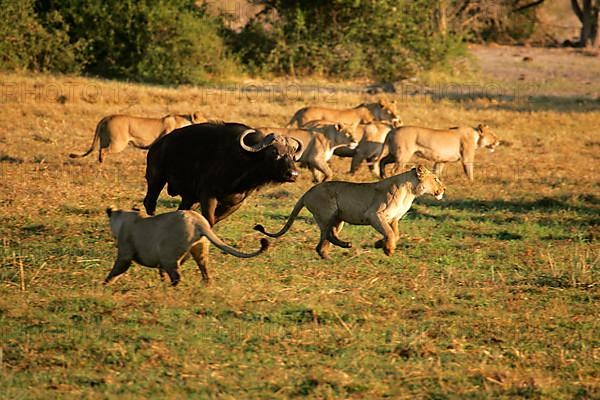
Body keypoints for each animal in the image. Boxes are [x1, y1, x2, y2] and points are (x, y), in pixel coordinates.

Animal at [105, 208, 270, 286]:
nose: (109, 210)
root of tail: (200, 224)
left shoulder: (125, 254)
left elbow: (115, 272)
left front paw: (104, 285)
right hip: (199, 252)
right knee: (205, 274)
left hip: (169, 257)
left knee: (177, 278)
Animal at [142, 120, 302, 227]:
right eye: (275, 152)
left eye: (292, 153)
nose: (293, 174)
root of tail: (159, 144)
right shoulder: (208, 196)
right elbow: (209, 220)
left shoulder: (235, 204)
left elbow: (214, 220)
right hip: (156, 178)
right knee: (150, 203)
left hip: (189, 197)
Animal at [254, 164, 446, 258]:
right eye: (436, 178)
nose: (444, 188)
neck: (411, 192)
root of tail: (307, 192)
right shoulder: (375, 215)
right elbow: (391, 234)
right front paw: (387, 249)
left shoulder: (393, 219)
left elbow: (394, 234)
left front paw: (380, 244)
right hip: (328, 212)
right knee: (327, 234)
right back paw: (346, 245)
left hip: (338, 220)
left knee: (322, 243)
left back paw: (329, 256)